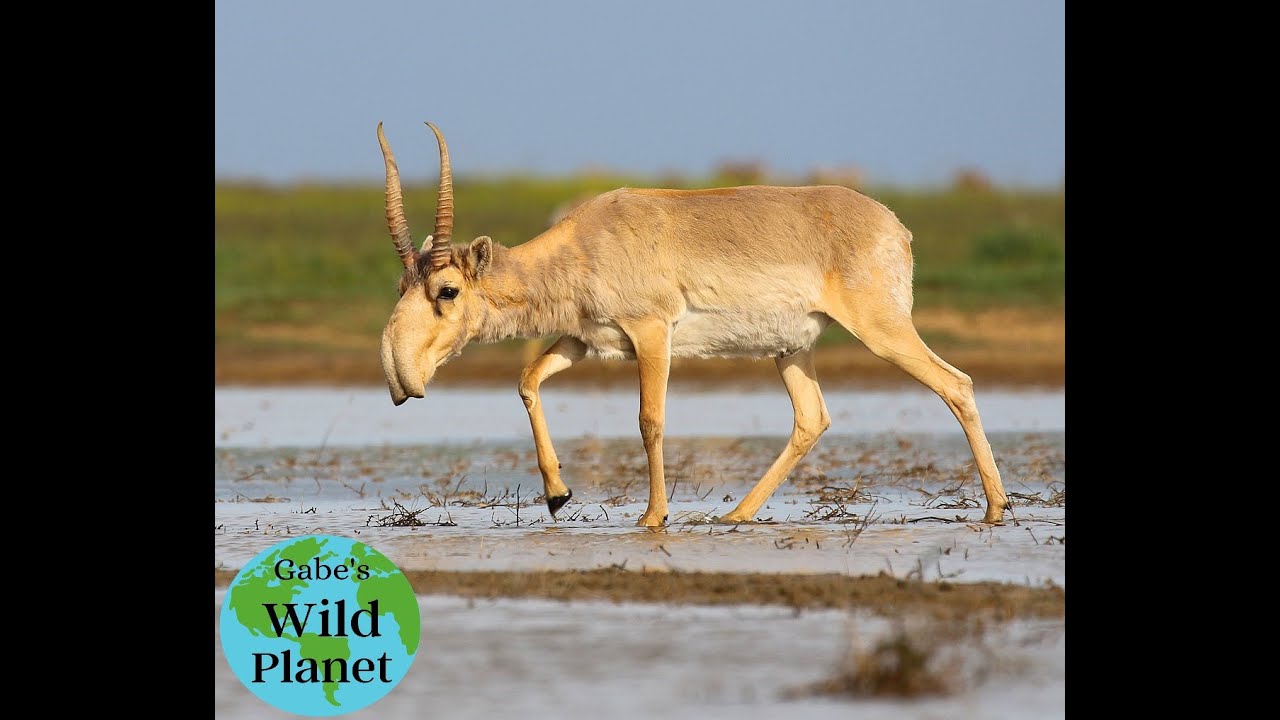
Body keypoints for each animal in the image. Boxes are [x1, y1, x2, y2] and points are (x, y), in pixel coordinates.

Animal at [376, 122, 1008, 525]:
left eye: (447, 290)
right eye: (401, 286)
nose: (400, 378)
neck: (584, 243)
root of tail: (894, 226)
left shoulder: (652, 334)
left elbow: (649, 420)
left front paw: (652, 517)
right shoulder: (584, 340)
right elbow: (527, 381)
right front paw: (557, 495)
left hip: (883, 331)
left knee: (956, 384)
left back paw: (997, 507)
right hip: (791, 350)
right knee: (812, 418)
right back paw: (736, 514)